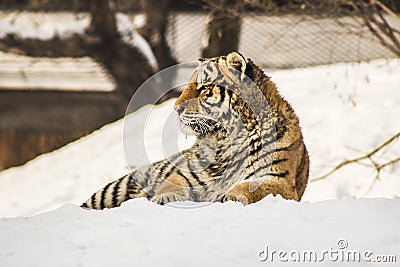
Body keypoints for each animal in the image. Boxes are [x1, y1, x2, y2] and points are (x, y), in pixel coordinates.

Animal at [82, 50, 310, 209]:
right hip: (117, 188)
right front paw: (163, 197)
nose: (175, 108)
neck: (226, 140)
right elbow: (172, 184)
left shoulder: (278, 180)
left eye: (203, 88)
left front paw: (231, 196)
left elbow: (251, 187)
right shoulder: (185, 174)